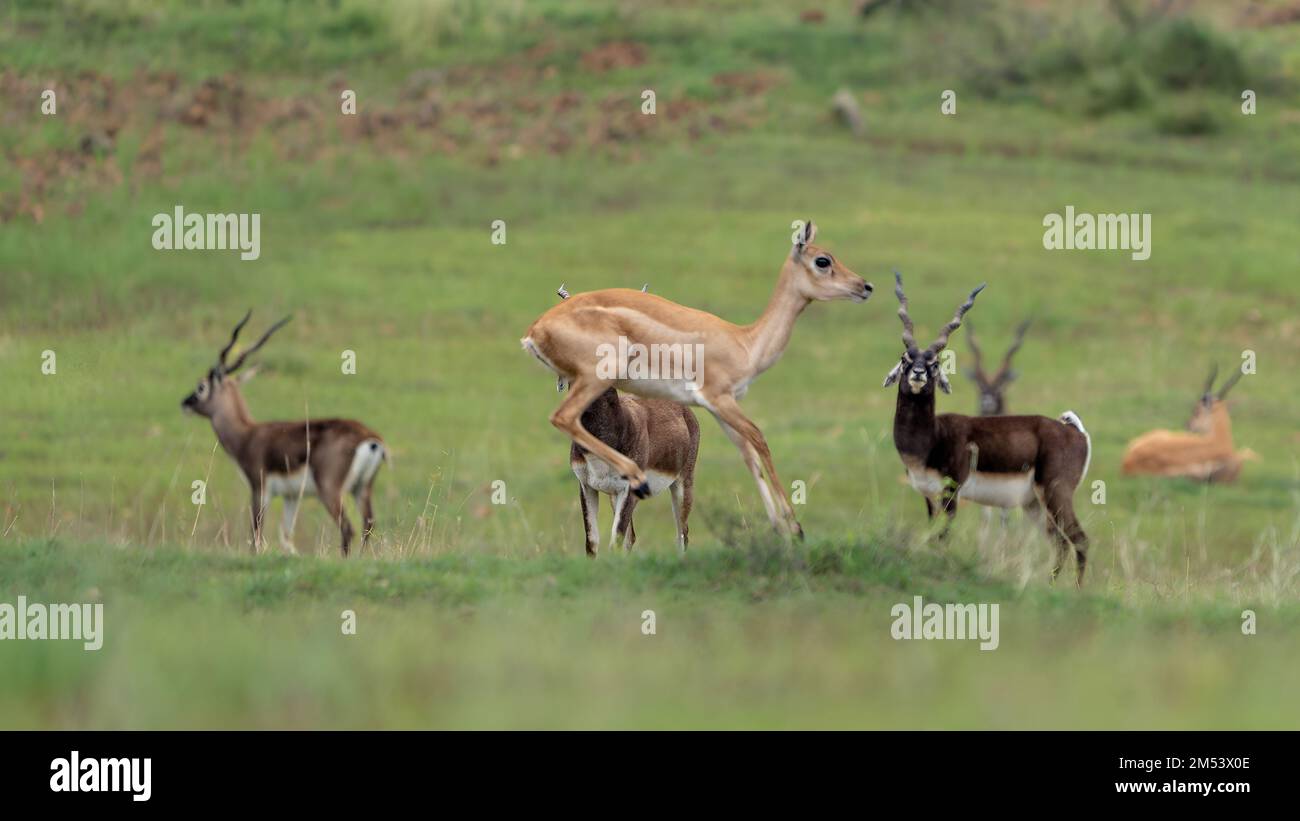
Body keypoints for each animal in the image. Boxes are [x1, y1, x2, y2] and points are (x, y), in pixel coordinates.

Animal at [182, 310, 384, 555]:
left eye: (201, 386)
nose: (185, 403)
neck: (248, 435)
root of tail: (368, 438)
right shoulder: (291, 497)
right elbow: (286, 537)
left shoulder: (259, 489)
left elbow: (256, 535)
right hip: (361, 489)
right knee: (368, 525)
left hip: (330, 491)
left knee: (347, 528)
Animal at [520, 219, 873, 537]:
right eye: (823, 260)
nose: (866, 287)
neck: (744, 341)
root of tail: (535, 329)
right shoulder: (719, 397)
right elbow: (760, 439)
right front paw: (795, 526)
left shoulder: (718, 408)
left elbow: (747, 453)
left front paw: (778, 527)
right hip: (596, 377)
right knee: (562, 417)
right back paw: (639, 480)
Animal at [883, 274, 1097, 584]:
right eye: (905, 358)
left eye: (935, 362)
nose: (919, 373)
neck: (932, 437)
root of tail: (1073, 430)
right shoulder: (928, 495)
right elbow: (933, 536)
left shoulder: (951, 492)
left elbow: (942, 538)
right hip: (1034, 503)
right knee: (1059, 542)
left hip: (1056, 493)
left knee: (1079, 539)